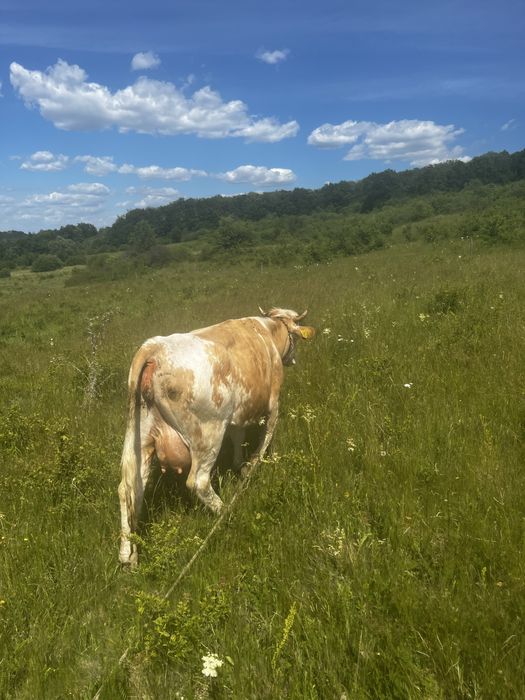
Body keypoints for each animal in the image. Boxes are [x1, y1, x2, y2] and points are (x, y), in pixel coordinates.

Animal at [118, 307, 315, 565]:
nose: (293, 359)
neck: (269, 332)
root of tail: (154, 348)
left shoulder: (237, 414)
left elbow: (238, 436)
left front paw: (239, 464)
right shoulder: (273, 403)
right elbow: (266, 439)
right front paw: (256, 465)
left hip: (140, 437)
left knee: (128, 488)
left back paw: (128, 556)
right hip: (208, 434)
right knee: (198, 482)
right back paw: (227, 514)